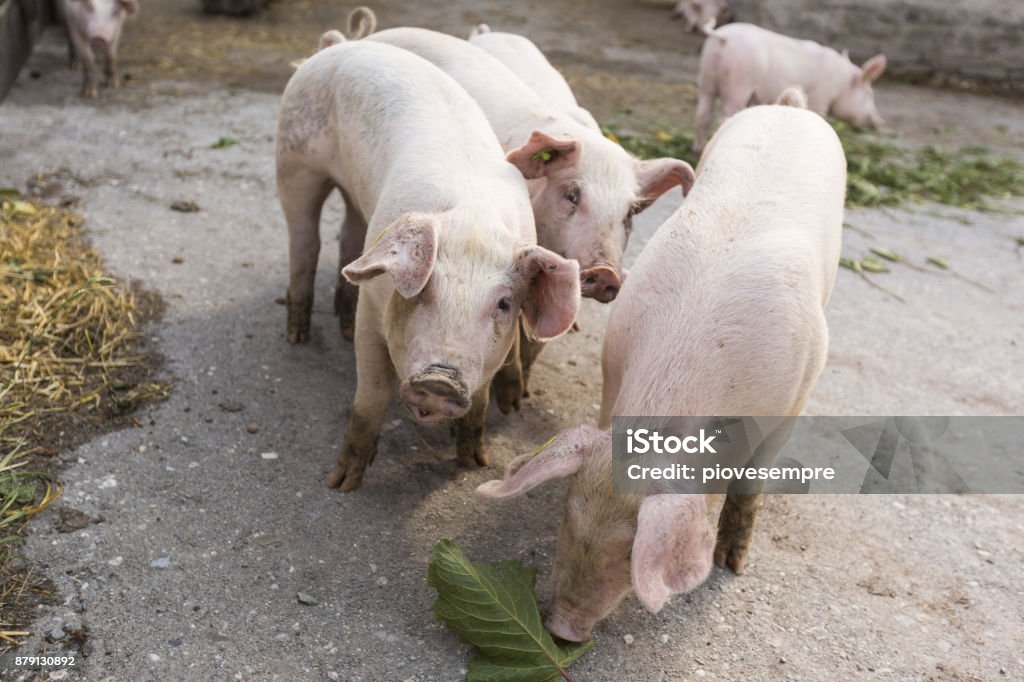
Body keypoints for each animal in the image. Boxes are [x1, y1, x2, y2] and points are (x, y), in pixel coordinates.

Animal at [277, 39, 580, 491]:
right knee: (305, 241)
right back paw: (298, 336)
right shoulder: (373, 313)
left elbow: (480, 402)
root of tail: (339, 45)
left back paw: (339, 326)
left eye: (504, 304)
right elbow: (371, 395)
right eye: (423, 291)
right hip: (293, 159)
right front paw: (342, 484)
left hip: (353, 199)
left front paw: (473, 462)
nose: (441, 380)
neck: (473, 225)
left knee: (348, 239)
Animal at [478, 91, 845, 641]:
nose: (562, 629)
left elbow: (750, 485)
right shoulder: (612, 376)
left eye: (630, 552)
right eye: (566, 518)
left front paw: (732, 565)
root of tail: (790, 106)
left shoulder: (793, 400)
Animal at [694, 22, 887, 154]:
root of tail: (723, 36)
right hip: (739, 80)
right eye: (869, 94)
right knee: (723, 116)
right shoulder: (821, 98)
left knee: (703, 114)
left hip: (706, 74)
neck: (842, 83)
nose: (879, 122)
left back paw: (697, 149)